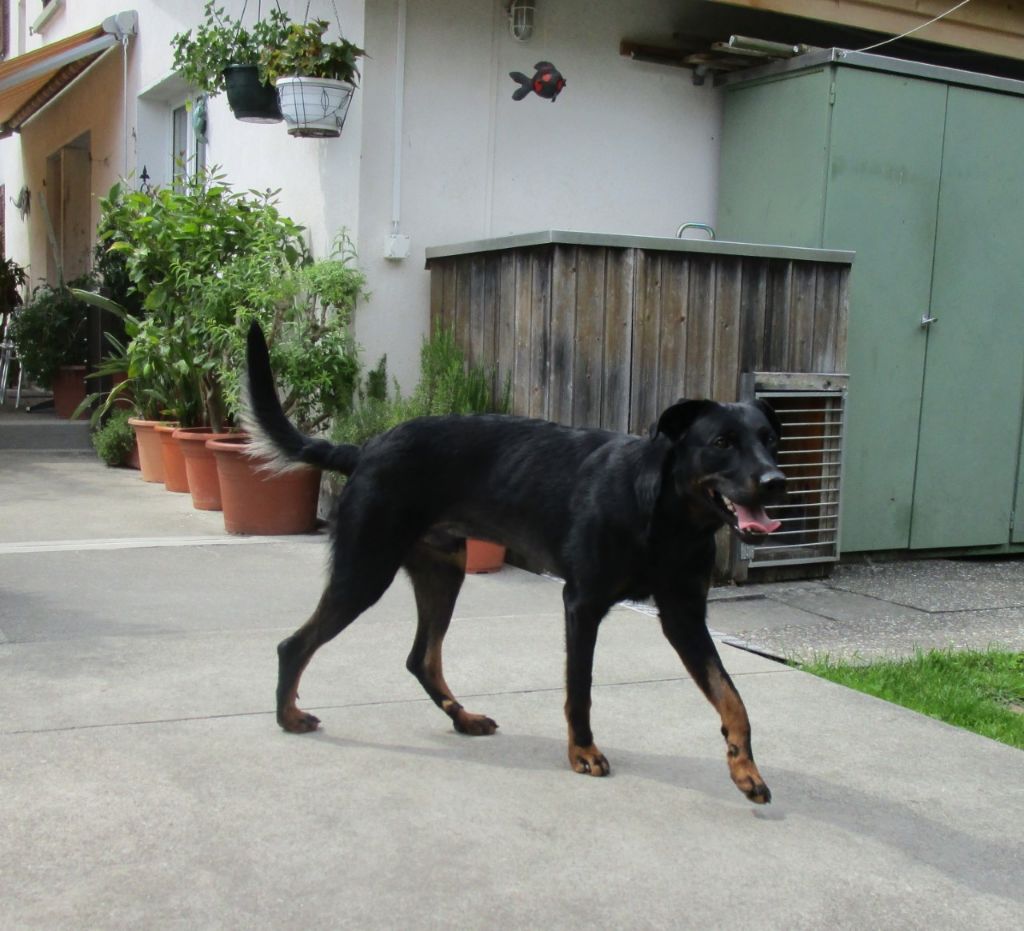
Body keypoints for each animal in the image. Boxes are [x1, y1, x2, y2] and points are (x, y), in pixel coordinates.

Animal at [245, 321, 782, 798]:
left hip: (444, 571)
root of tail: (364, 450)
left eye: (769, 440)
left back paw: (463, 718)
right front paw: (582, 752)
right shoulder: (581, 604)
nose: (776, 481)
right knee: (294, 645)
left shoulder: (683, 616)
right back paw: (288, 716)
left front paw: (745, 769)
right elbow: (580, 688)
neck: (666, 517)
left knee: (422, 658)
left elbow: (732, 697)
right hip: (366, 569)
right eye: (721, 443)